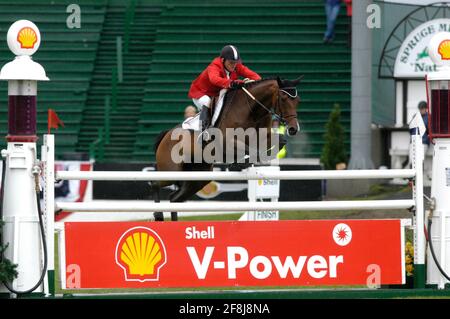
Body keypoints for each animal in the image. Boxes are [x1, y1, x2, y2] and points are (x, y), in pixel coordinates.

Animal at [151, 77, 302, 222]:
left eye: (298, 100)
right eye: (283, 98)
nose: (293, 129)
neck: (252, 111)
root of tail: (166, 134)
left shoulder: (265, 136)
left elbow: (280, 141)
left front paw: (254, 159)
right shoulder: (227, 142)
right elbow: (251, 150)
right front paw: (239, 164)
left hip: (198, 177)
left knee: (174, 199)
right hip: (171, 171)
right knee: (155, 183)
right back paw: (158, 215)